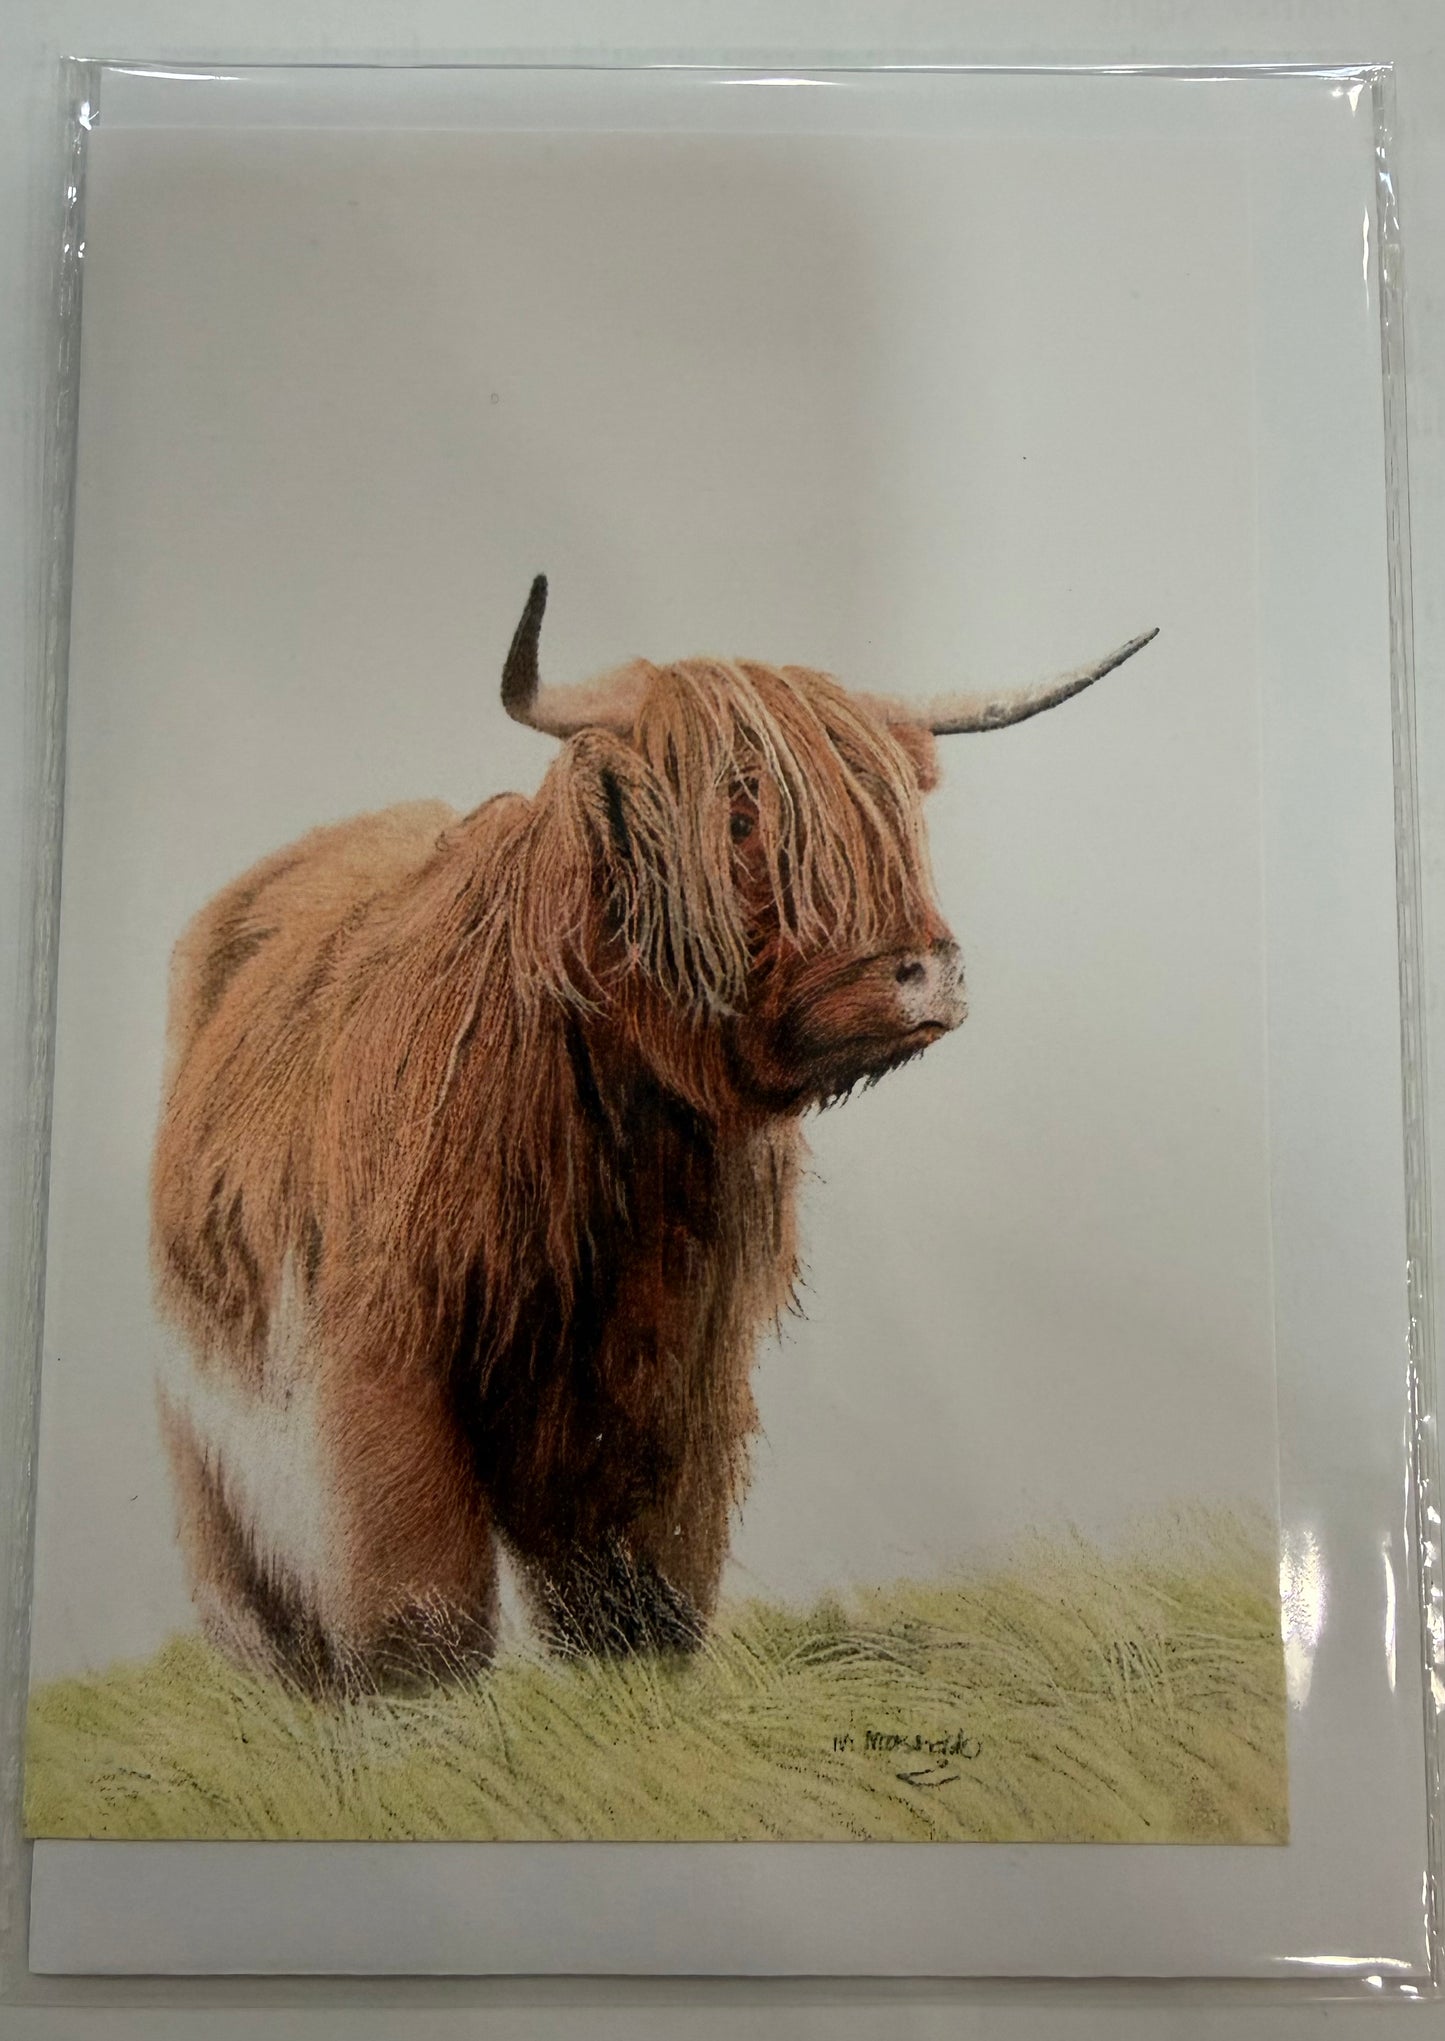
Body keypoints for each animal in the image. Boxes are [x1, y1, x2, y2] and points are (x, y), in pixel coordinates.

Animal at [151, 577, 1156, 1694]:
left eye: (895, 812)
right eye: (740, 809)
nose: (926, 972)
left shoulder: (676, 1363)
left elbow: (644, 1572)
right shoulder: (381, 1340)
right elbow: (417, 1586)